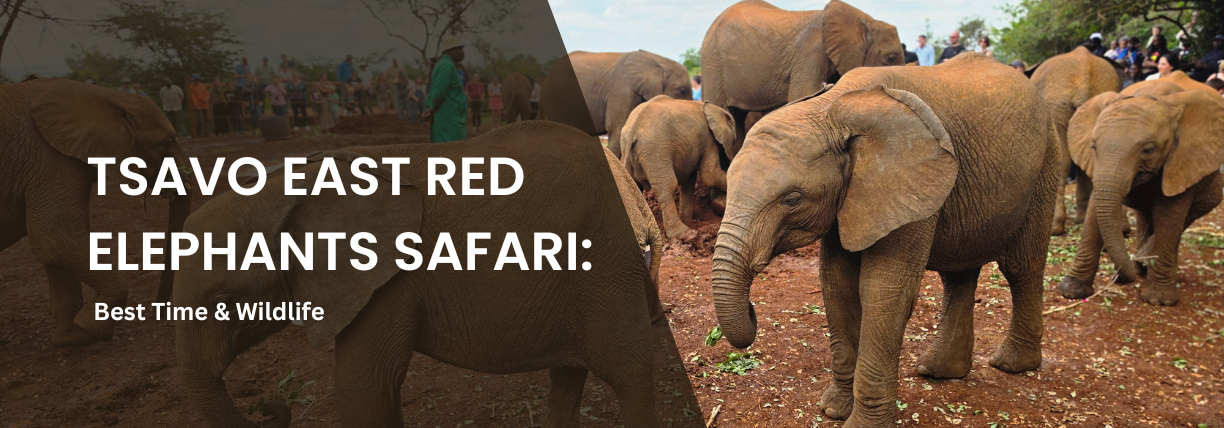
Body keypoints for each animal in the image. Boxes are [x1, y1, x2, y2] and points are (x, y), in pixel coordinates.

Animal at [0, 77, 191, 346]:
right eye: (167, 144)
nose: (158, 312)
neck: (104, 96)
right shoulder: (50, 159)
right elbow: (57, 239)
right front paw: (92, 329)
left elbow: (57, 248)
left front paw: (73, 338)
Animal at [175, 121, 662, 428]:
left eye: (223, 302)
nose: (269, 406)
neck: (293, 188)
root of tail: (638, 202)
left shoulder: (384, 284)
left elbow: (365, 388)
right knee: (568, 375)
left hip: (607, 266)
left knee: (631, 373)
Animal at [620, 95, 735, 238]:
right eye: (734, 141)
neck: (711, 107)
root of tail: (632, 131)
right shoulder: (708, 139)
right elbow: (710, 176)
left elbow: (689, 180)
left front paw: (688, 219)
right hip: (656, 152)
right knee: (667, 187)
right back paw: (681, 232)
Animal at [710, 54, 1059, 427]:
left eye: (792, 200)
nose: (752, 309)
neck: (832, 107)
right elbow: (837, 286)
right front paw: (833, 410)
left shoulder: (906, 182)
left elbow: (882, 292)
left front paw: (859, 423)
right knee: (958, 274)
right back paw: (939, 371)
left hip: (1046, 163)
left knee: (1022, 267)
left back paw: (1012, 365)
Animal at [1057, 80, 1224, 306]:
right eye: (1093, 146)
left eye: (1148, 150)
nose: (1119, 278)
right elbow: (1095, 210)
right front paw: (1072, 291)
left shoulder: (1182, 161)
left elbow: (1170, 216)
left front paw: (1159, 300)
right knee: (1145, 215)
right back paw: (1141, 267)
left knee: (1184, 219)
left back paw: (1145, 263)